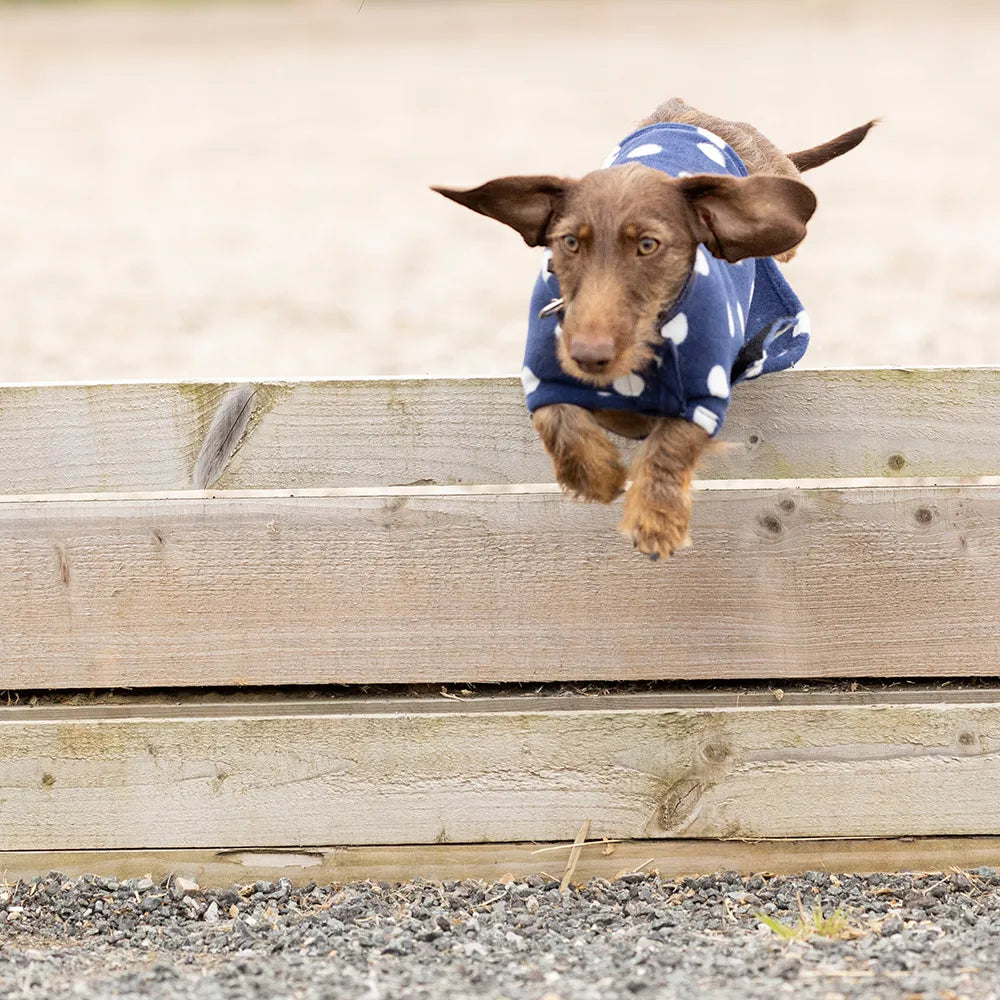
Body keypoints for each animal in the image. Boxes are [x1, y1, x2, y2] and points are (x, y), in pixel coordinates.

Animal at [434, 99, 872, 564]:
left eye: (648, 245)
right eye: (570, 242)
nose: (588, 355)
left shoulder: (704, 391)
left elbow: (671, 444)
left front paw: (656, 519)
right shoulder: (544, 371)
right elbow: (557, 419)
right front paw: (600, 476)